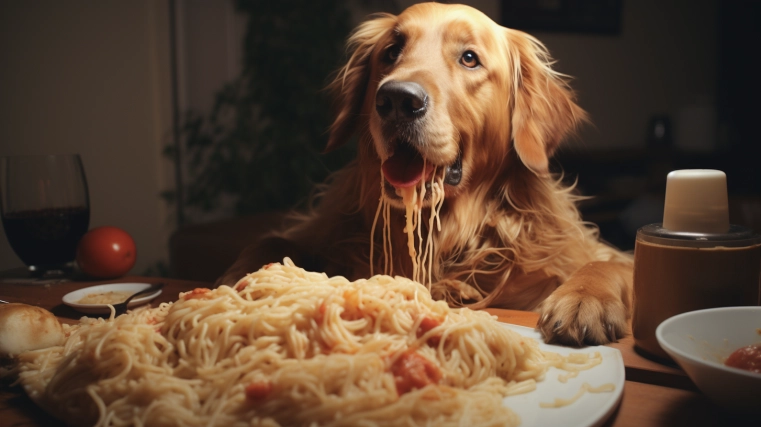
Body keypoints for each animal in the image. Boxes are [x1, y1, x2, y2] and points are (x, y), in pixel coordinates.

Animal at [221, 2, 636, 348]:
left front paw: (583, 299)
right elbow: (273, 239)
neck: (443, 232)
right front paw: (242, 278)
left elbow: (609, 262)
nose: (397, 100)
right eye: (391, 51)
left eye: (469, 59)